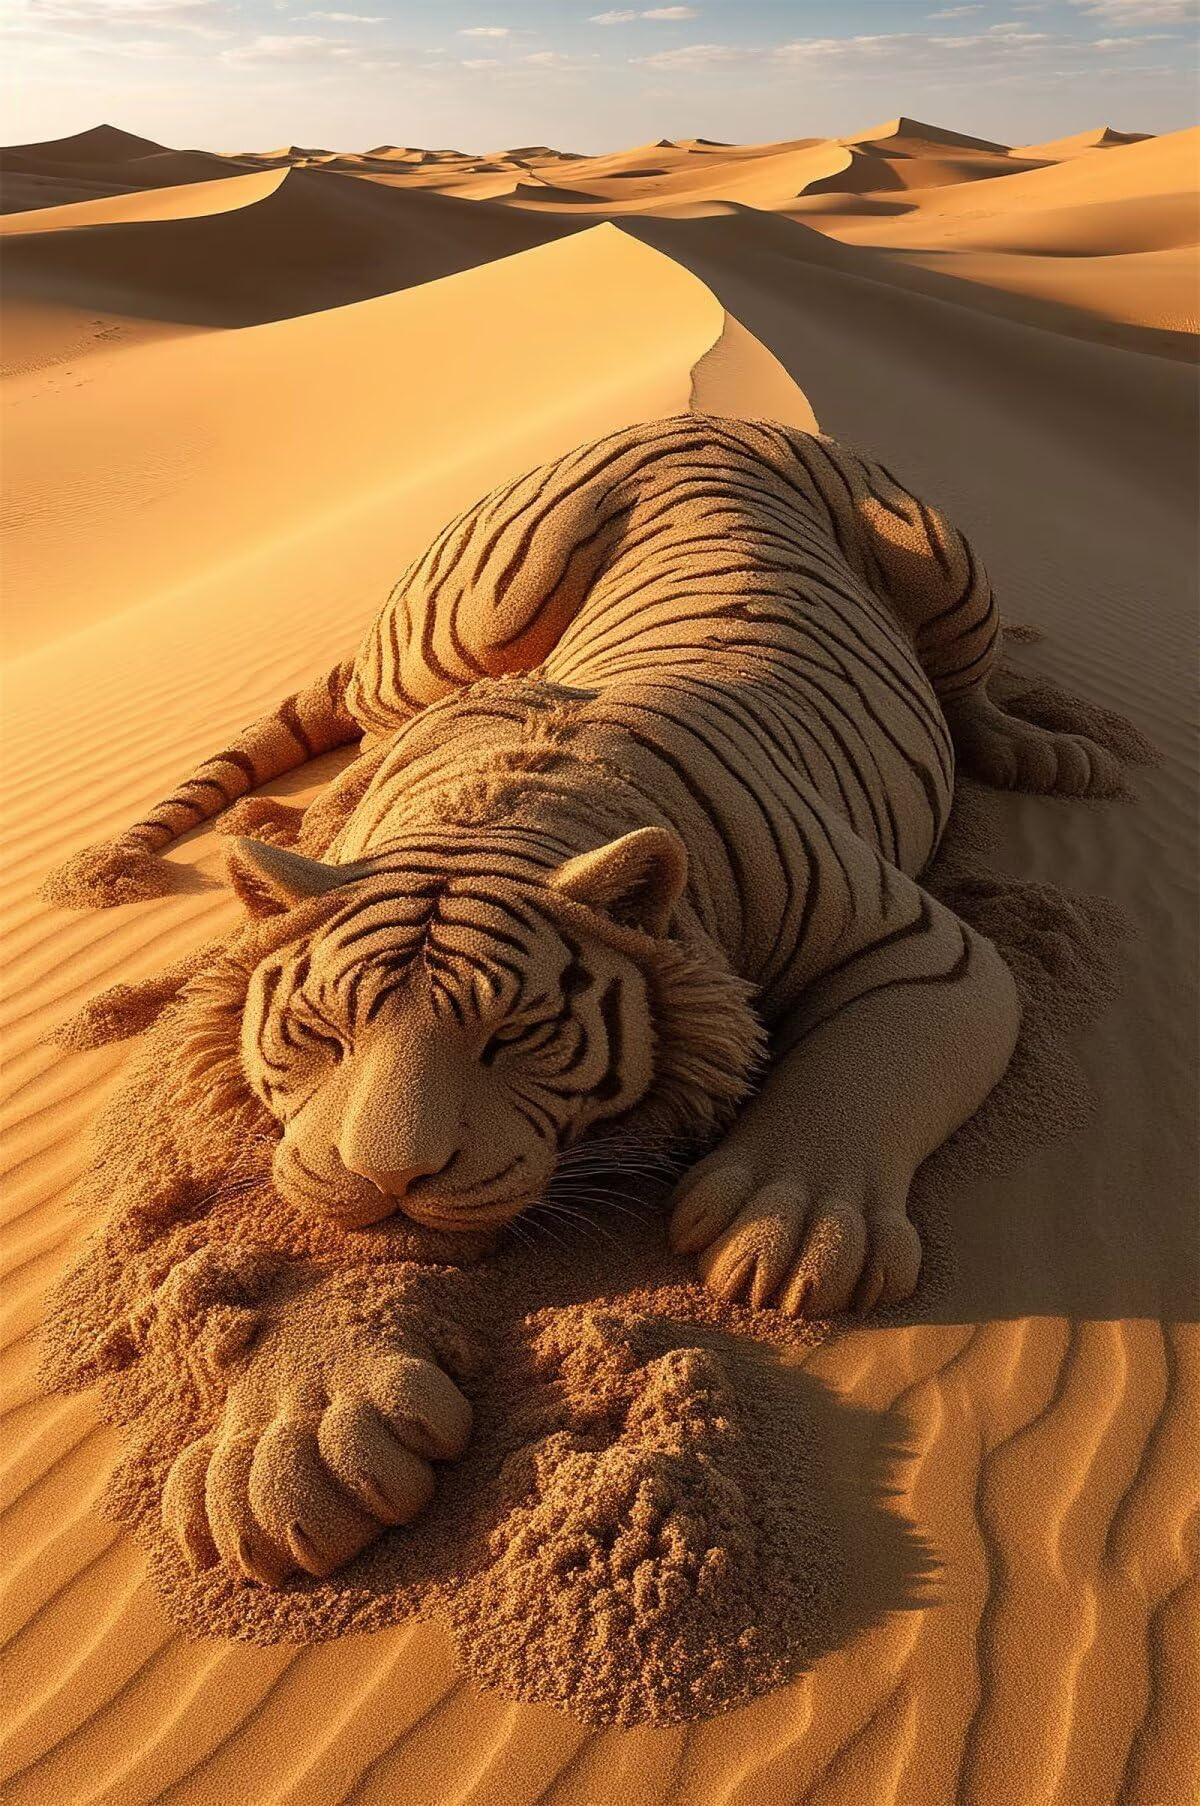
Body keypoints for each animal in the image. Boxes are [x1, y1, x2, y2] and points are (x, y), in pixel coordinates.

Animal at [44, 415, 1122, 1586]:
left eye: (513, 1036)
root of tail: (700, 419)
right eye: (323, 1035)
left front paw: (785, 1224)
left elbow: (866, 1069)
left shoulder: (923, 946)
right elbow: (318, 1210)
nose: (393, 1177)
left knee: (970, 690)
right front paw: (290, 1449)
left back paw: (1049, 753)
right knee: (362, 700)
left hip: (935, 559)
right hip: (471, 618)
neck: (499, 807)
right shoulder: (307, 1144)